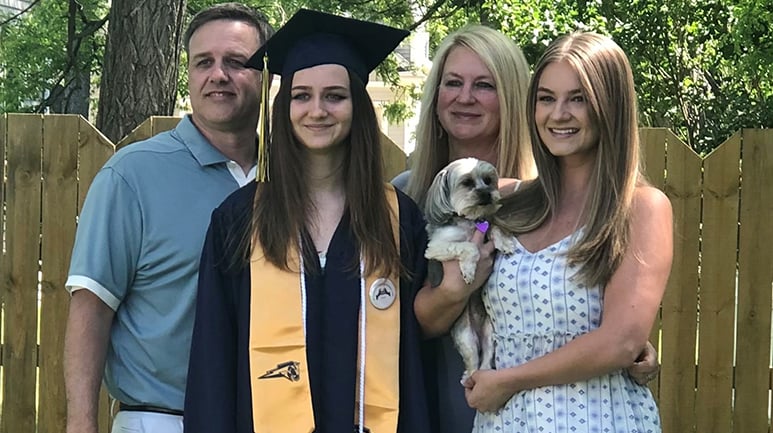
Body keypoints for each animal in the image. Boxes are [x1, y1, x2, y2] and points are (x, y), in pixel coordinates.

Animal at [422, 157, 512, 380]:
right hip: (466, 337)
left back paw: (486, 372)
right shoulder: (436, 248)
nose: (487, 193)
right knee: (472, 362)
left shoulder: (486, 227)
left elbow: (494, 228)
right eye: (467, 183)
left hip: (490, 332)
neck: (469, 221)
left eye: (488, 180)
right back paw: (470, 376)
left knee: (486, 357)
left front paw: (505, 242)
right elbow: (469, 247)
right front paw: (470, 272)